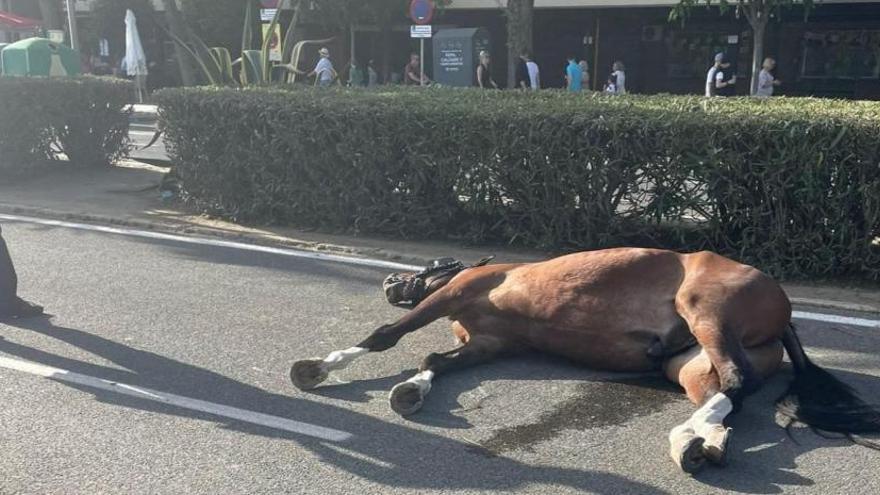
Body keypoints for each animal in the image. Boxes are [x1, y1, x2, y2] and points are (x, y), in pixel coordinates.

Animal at [290, 250, 880, 474]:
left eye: (430, 266)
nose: (391, 280)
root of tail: (783, 309)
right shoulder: (489, 344)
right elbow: (438, 357)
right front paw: (413, 390)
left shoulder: (455, 294)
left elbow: (388, 336)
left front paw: (319, 367)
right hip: (689, 364)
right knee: (726, 393)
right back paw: (701, 441)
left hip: (706, 313)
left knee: (735, 382)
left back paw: (687, 438)